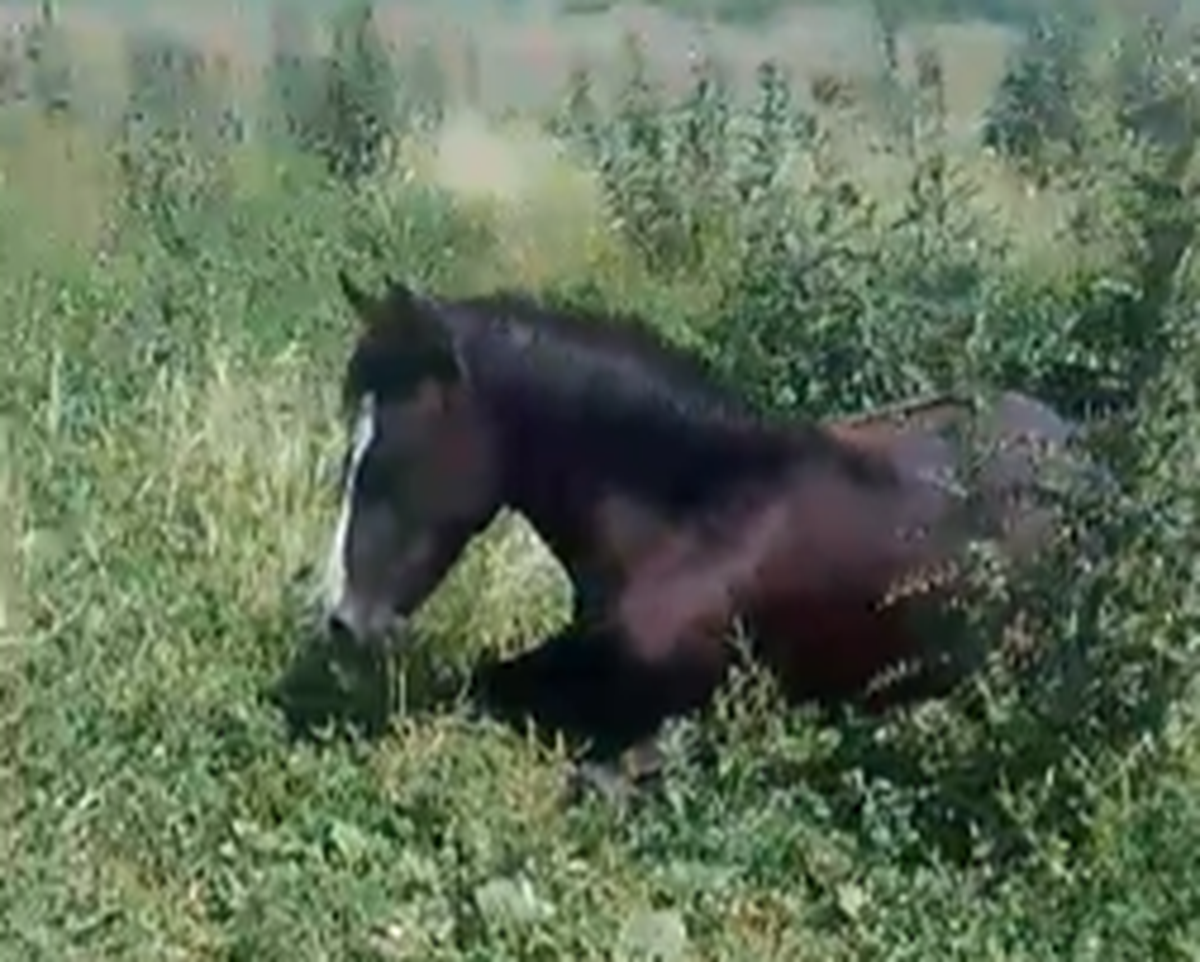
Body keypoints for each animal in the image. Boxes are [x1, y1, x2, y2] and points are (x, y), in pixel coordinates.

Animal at [319, 272, 1107, 791]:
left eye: (391, 462)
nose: (342, 621)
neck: (689, 523)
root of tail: (1084, 454)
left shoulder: (693, 707)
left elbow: (598, 776)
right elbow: (485, 682)